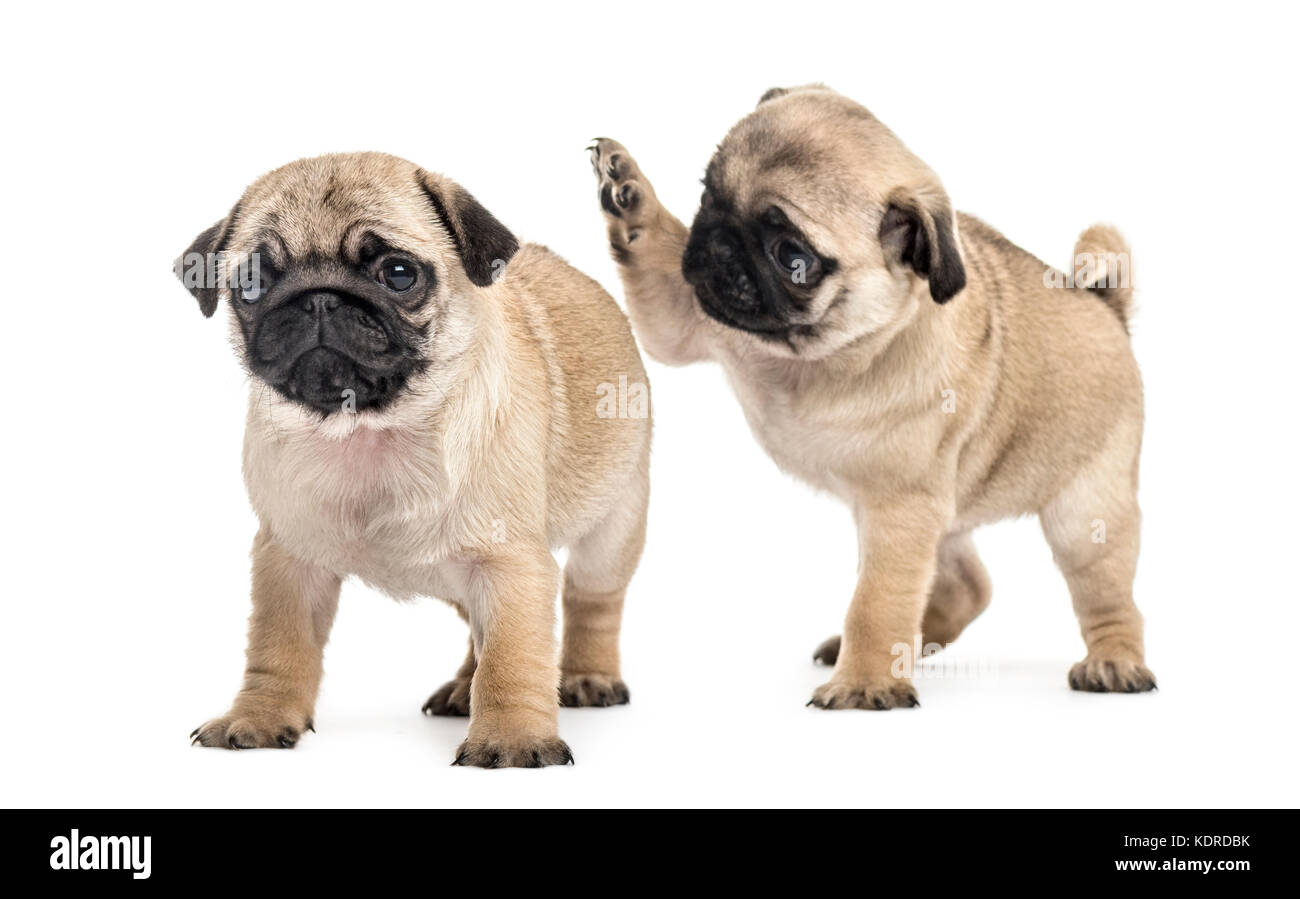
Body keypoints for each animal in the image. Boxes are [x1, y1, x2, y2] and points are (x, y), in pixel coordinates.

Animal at [178, 149, 655, 763]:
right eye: (253, 281)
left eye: (398, 273)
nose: (319, 297)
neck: (367, 429)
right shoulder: (290, 559)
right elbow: (278, 646)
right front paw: (258, 717)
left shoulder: (511, 563)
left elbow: (513, 657)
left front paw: (512, 737)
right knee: (478, 628)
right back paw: (462, 688)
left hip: (614, 523)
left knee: (591, 600)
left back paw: (586, 677)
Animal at [595, 87, 1154, 711]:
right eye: (706, 195)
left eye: (793, 256)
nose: (717, 244)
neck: (814, 358)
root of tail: (1106, 307)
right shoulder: (684, 319)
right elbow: (656, 260)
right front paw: (629, 191)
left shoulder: (898, 510)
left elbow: (877, 602)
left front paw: (864, 683)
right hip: (942, 508)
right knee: (967, 585)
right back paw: (911, 645)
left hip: (1083, 513)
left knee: (1107, 596)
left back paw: (1113, 662)